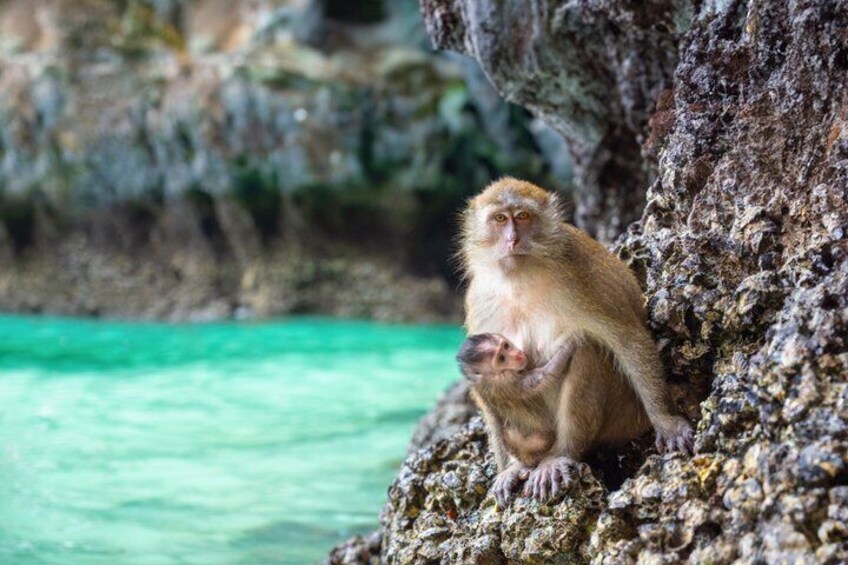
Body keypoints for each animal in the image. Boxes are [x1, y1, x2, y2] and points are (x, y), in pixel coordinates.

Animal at [459, 177, 693, 503]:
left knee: (589, 350)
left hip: (623, 417)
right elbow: (485, 382)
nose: (512, 240)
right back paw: (524, 462)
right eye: (500, 219)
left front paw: (667, 421)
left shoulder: (580, 276)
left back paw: (561, 455)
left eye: (523, 216)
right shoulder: (479, 298)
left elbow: (627, 339)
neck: (519, 279)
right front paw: (508, 468)